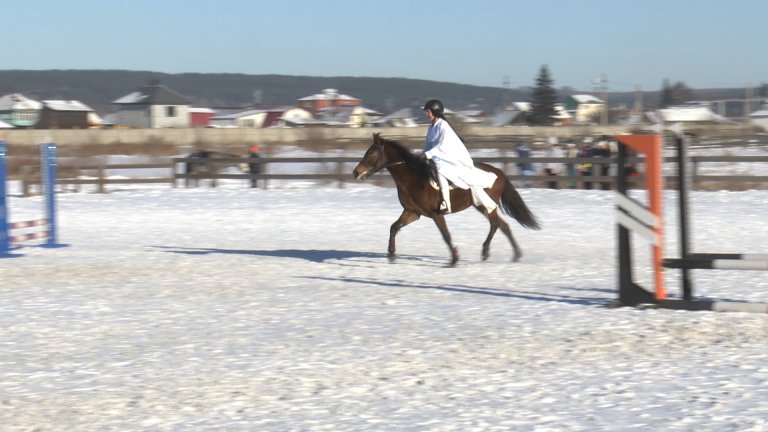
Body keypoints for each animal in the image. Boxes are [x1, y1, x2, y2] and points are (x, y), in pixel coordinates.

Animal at [354, 132, 540, 266]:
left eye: (371, 153)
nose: (356, 172)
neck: (414, 178)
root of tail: (499, 172)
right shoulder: (413, 212)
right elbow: (393, 227)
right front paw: (391, 254)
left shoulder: (436, 214)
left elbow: (446, 235)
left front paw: (454, 259)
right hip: (481, 205)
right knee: (503, 225)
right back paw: (513, 254)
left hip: (484, 205)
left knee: (496, 224)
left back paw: (488, 251)